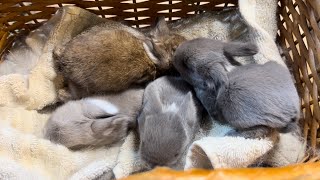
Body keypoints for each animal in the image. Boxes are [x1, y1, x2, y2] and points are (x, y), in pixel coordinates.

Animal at [172, 38, 300, 139]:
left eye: (187, 64)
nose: (175, 56)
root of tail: (292, 112)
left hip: (235, 113)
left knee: (259, 131)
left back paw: (231, 134)